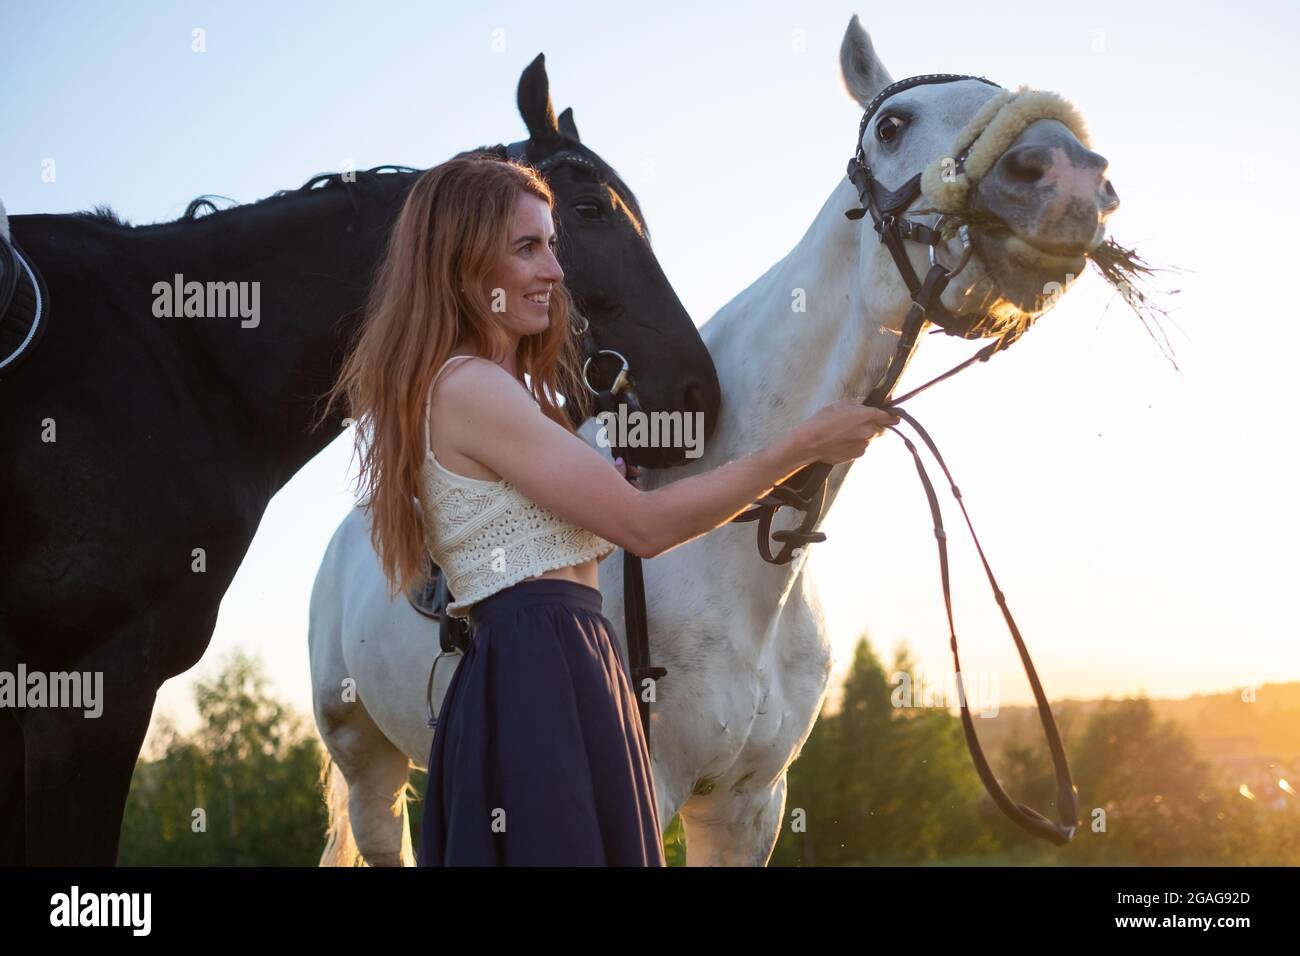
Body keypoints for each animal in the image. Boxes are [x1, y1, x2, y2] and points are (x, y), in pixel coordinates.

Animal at [312, 14, 1118, 868]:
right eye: (892, 125)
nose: (1066, 175)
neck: (740, 564)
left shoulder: (749, 805)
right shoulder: (656, 785)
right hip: (366, 767)